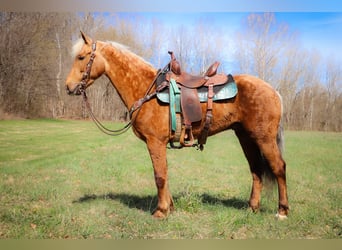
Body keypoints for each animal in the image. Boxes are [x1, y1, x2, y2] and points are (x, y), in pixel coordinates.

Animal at [65, 32, 288, 220]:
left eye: (82, 57)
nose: (68, 87)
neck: (147, 89)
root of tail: (273, 91)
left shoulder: (155, 142)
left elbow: (159, 176)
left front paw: (161, 211)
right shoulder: (159, 144)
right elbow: (164, 173)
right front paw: (169, 207)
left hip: (264, 138)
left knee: (278, 167)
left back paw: (282, 211)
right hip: (246, 138)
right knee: (256, 171)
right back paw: (252, 207)